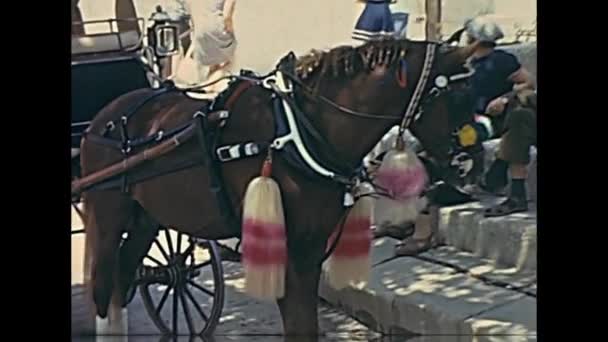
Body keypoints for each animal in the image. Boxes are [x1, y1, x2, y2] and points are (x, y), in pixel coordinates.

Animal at [81, 38, 478, 340]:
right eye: (458, 94)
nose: (467, 162)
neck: (297, 129)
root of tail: (101, 120)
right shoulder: (292, 250)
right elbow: (299, 325)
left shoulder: (312, 246)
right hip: (106, 215)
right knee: (102, 287)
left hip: (146, 218)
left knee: (121, 279)